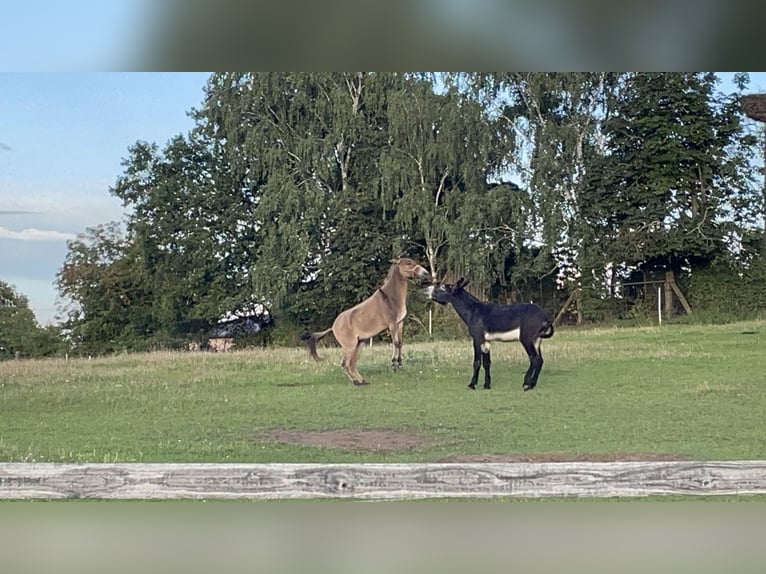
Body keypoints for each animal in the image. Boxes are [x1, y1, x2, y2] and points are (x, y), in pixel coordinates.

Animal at [300, 255, 430, 385]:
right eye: (408, 263)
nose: (426, 273)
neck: (390, 298)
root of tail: (332, 327)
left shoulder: (400, 323)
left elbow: (400, 343)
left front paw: (399, 363)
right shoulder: (392, 324)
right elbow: (396, 343)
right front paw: (394, 363)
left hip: (359, 344)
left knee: (352, 364)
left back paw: (362, 381)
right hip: (350, 347)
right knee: (345, 363)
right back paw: (356, 382)